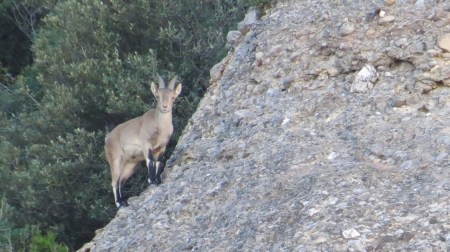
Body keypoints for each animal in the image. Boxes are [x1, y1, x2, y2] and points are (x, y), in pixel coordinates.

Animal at [104, 74, 182, 208]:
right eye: (157, 96)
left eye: (173, 97)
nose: (164, 107)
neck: (159, 127)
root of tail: (107, 138)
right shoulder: (146, 145)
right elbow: (150, 161)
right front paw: (152, 181)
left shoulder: (162, 147)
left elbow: (159, 162)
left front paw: (158, 180)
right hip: (116, 159)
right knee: (114, 181)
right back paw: (119, 203)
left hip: (130, 165)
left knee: (120, 180)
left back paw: (124, 202)